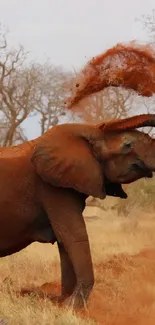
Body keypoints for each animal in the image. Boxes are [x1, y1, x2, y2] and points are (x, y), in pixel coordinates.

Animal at [0, 114, 155, 308]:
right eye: (127, 145)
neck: (89, 129)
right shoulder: (52, 187)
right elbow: (74, 235)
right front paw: (73, 306)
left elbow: (64, 240)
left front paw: (62, 302)